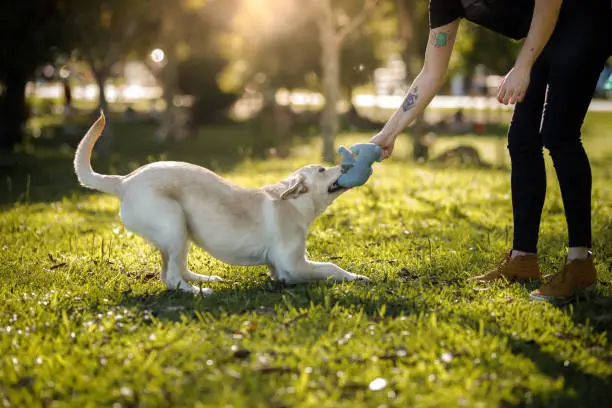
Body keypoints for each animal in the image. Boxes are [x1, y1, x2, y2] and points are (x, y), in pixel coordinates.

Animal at [73, 112, 368, 294]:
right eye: (321, 170)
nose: (346, 165)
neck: (294, 203)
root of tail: (123, 181)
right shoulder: (291, 267)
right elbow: (330, 267)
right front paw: (356, 277)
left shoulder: (279, 268)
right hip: (173, 223)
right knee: (171, 277)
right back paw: (200, 291)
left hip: (181, 232)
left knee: (175, 269)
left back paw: (205, 280)